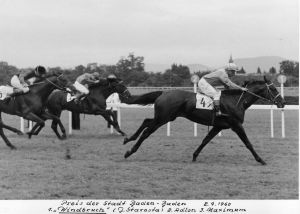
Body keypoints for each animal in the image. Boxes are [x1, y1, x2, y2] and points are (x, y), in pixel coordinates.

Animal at [122, 77, 286, 166]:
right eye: (273, 89)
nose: (283, 102)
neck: (237, 101)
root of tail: (163, 92)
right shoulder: (236, 125)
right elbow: (248, 143)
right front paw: (261, 160)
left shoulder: (218, 126)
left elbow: (205, 140)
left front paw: (194, 156)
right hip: (163, 118)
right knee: (147, 131)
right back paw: (130, 151)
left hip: (165, 117)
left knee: (146, 121)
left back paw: (128, 138)